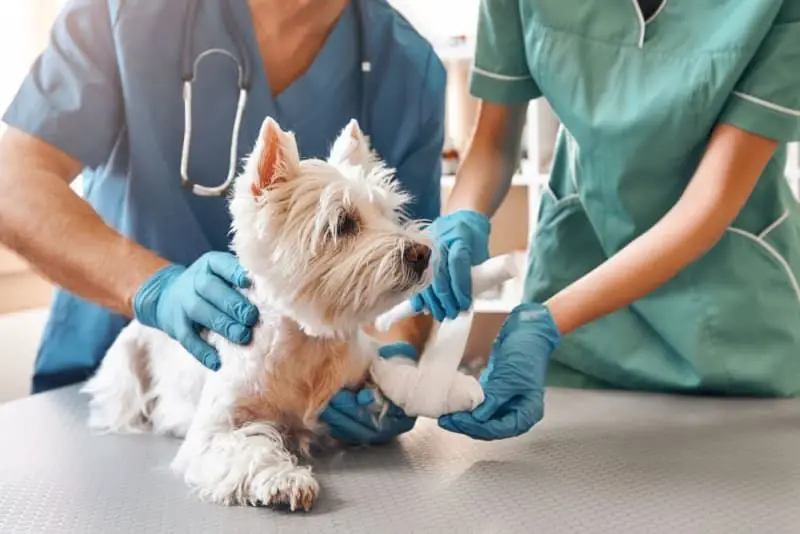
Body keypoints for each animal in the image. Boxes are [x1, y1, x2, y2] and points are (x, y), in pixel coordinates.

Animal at [82, 118, 434, 516]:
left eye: (389, 214)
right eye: (343, 223)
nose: (422, 253)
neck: (307, 345)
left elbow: (385, 379)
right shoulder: (215, 430)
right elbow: (249, 449)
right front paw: (286, 480)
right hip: (126, 370)